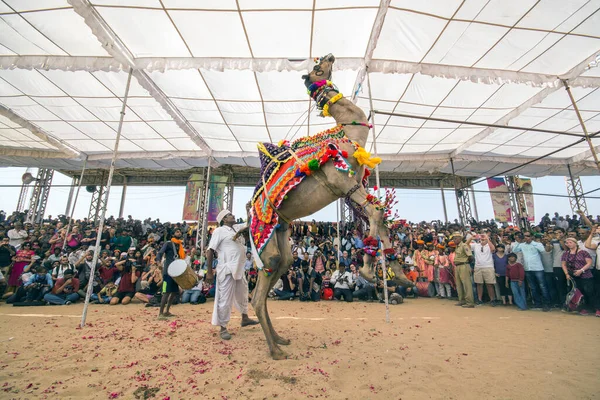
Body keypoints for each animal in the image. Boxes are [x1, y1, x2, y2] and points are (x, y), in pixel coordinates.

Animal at [248, 54, 412, 360]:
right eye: (316, 68)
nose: (328, 56)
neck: (348, 131)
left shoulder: (354, 184)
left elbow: (380, 214)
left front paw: (400, 276)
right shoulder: (341, 181)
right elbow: (376, 213)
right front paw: (368, 271)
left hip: (281, 229)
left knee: (275, 274)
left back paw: (280, 340)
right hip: (264, 236)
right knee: (259, 291)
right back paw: (275, 351)